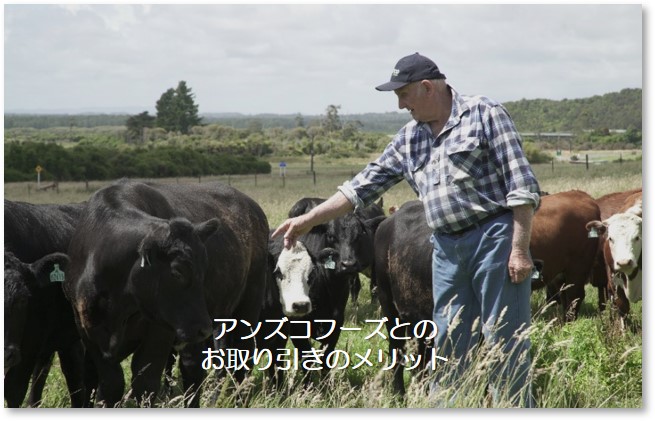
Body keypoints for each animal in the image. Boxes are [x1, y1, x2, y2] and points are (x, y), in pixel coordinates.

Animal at [63, 178, 270, 406]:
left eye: (204, 269)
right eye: (177, 272)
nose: (203, 328)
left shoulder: (159, 332)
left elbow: (145, 382)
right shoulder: (88, 329)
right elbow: (111, 384)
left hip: (247, 304)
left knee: (242, 354)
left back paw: (238, 399)